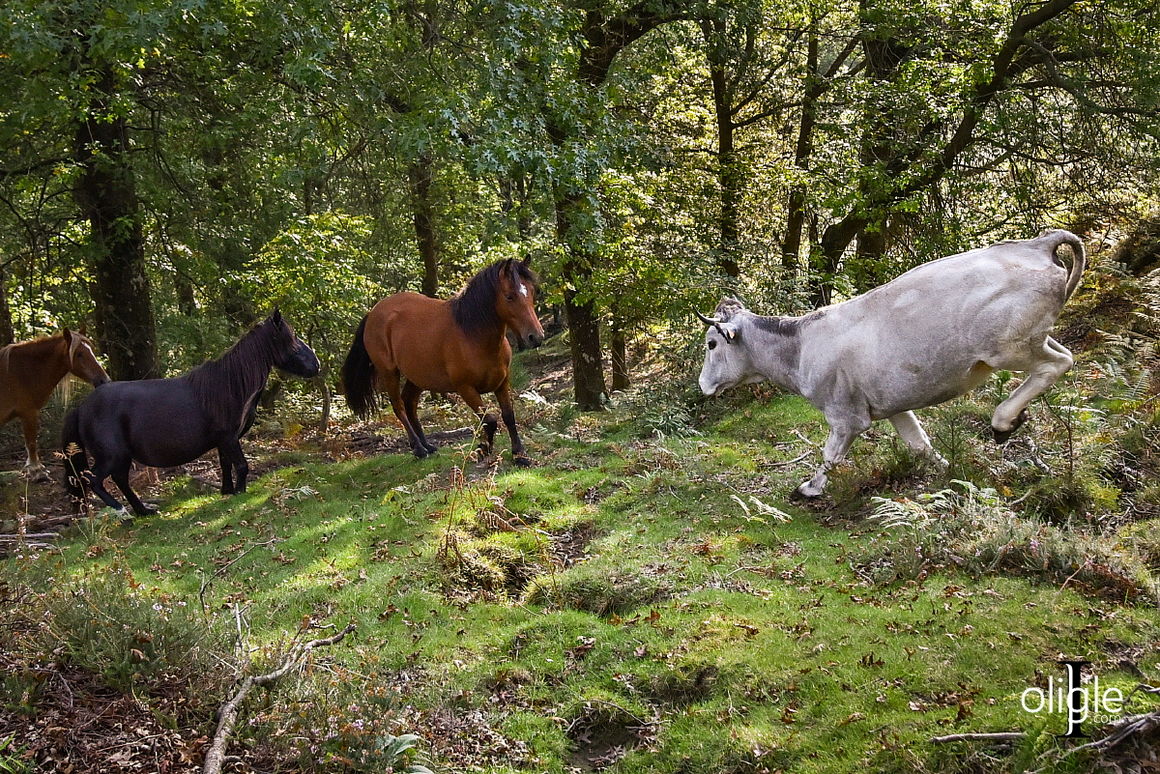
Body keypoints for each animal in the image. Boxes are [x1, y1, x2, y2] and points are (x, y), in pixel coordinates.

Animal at [0, 329, 109, 475]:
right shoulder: (28, 413)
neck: (20, 372)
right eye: (79, 354)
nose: (104, 380)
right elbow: (31, 443)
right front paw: (36, 470)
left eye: (91, 350)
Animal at [61, 308, 320, 515]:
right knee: (94, 480)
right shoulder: (228, 437)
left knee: (120, 481)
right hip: (112, 456)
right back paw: (121, 511)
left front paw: (227, 492)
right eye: (292, 339)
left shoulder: (224, 440)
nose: (316, 365)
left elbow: (226, 465)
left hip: (121, 457)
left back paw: (143, 511)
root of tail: (81, 407)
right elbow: (242, 465)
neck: (230, 385)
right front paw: (240, 493)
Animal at [341, 258, 545, 466]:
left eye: (532, 291)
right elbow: (489, 420)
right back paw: (419, 449)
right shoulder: (466, 389)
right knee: (399, 406)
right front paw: (483, 449)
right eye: (509, 296)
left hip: (417, 376)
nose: (535, 337)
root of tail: (373, 313)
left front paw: (519, 454)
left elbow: (508, 416)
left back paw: (427, 445)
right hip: (389, 372)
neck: (473, 335)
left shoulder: (502, 383)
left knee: (409, 403)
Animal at [696, 229, 1085, 496]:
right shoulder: (895, 405)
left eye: (712, 343)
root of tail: (1036, 244)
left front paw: (810, 488)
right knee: (1063, 356)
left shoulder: (846, 416)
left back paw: (1003, 421)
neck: (800, 347)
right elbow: (919, 443)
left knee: (1056, 365)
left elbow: (831, 454)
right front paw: (948, 471)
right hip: (1033, 338)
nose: (702, 385)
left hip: (1008, 348)